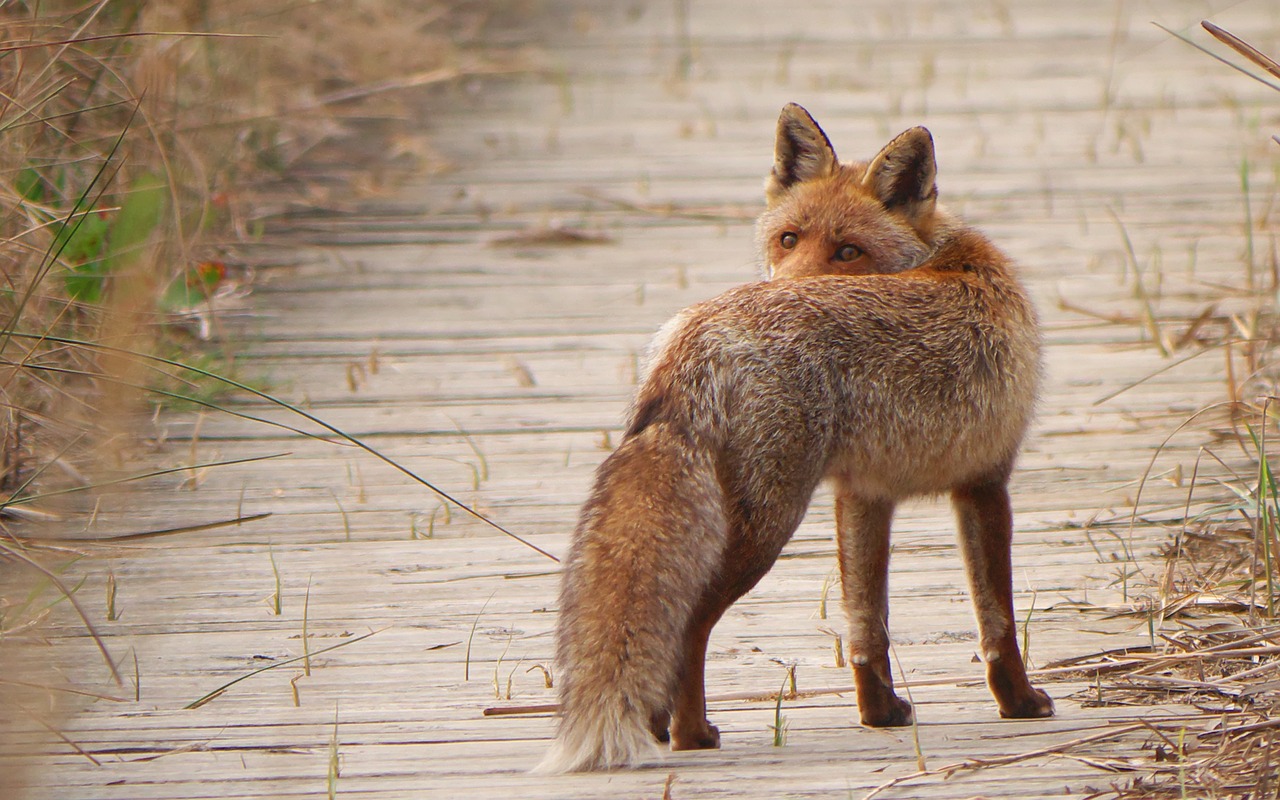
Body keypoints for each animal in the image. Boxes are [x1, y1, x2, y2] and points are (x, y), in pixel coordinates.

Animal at [535, 103, 1054, 773]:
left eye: (848, 250)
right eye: (788, 240)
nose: (782, 283)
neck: (944, 255)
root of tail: (696, 338)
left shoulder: (863, 494)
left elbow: (866, 624)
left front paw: (879, 713)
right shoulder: (986, 481)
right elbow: (999, 621)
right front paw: (1020, 702)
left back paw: (656, 725)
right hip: (768, 520)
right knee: (689, 626)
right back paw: (692, 733)